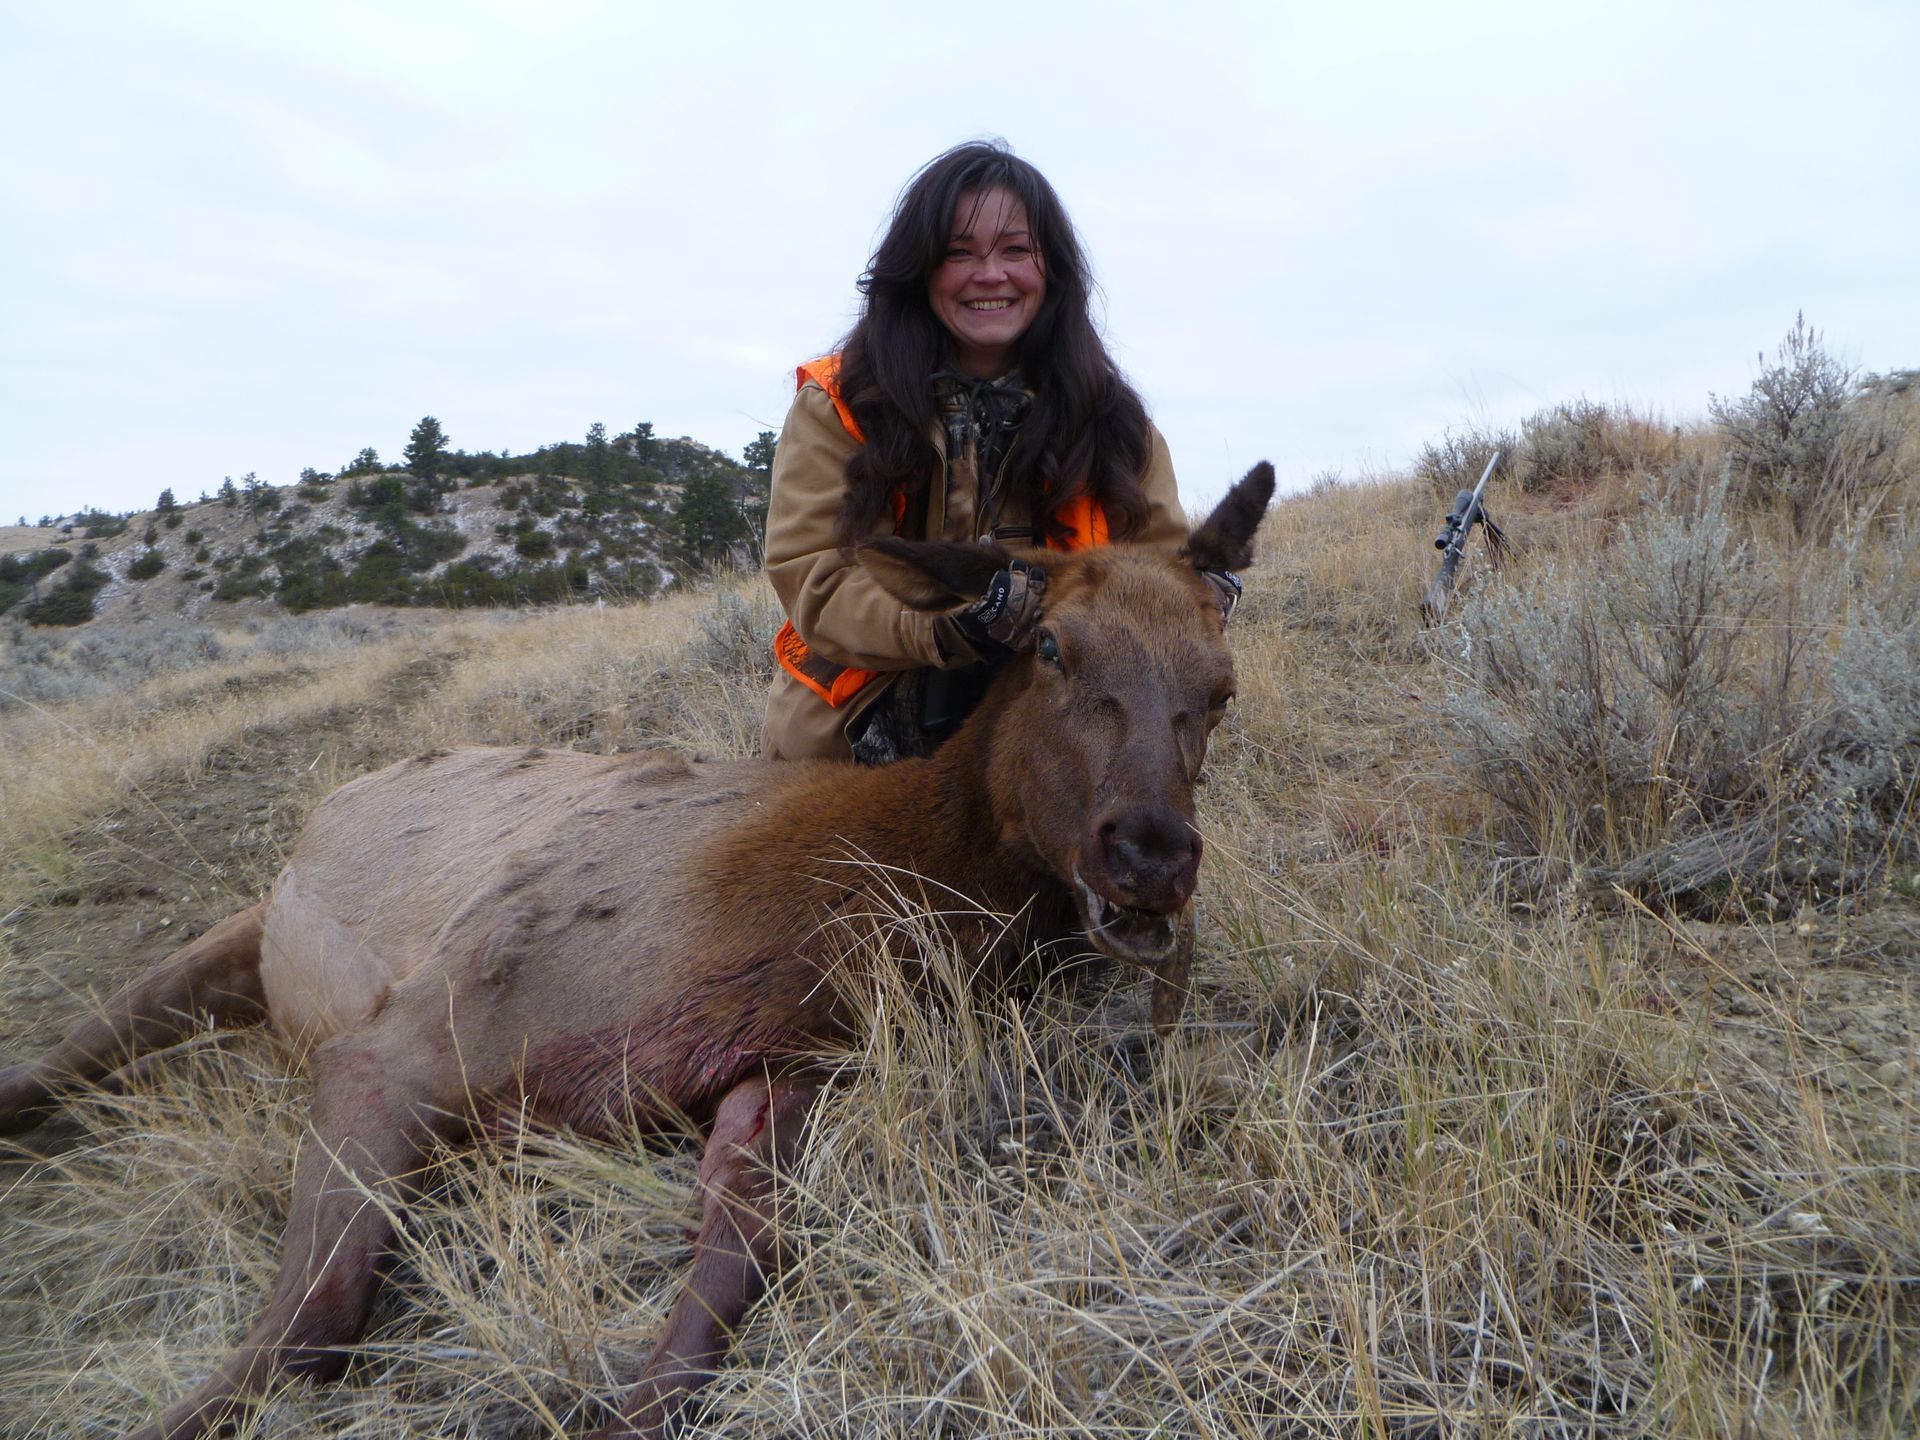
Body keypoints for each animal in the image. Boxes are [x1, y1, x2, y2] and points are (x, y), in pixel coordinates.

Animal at [0, 463, 1274, 1439]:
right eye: (1050, 646)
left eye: (1219, 686)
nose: (1150, 851)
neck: (849, 902)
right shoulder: (400, 1044)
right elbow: (302, 1333)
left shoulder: (786, 1070)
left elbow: (719, 1296)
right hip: (244, 929)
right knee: (75, 1050)